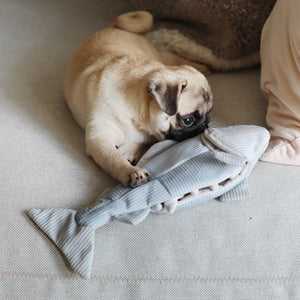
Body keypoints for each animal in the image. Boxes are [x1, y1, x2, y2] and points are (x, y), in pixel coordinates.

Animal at [64, 11, 212, 188]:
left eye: (208, 113)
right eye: (188, 120)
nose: (206, 123)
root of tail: (115, 27)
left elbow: (141, 141)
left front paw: (130, 150)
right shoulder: (100, 137)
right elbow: (114, 158)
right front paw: (130, 171)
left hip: (161, 56)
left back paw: (204, 66)